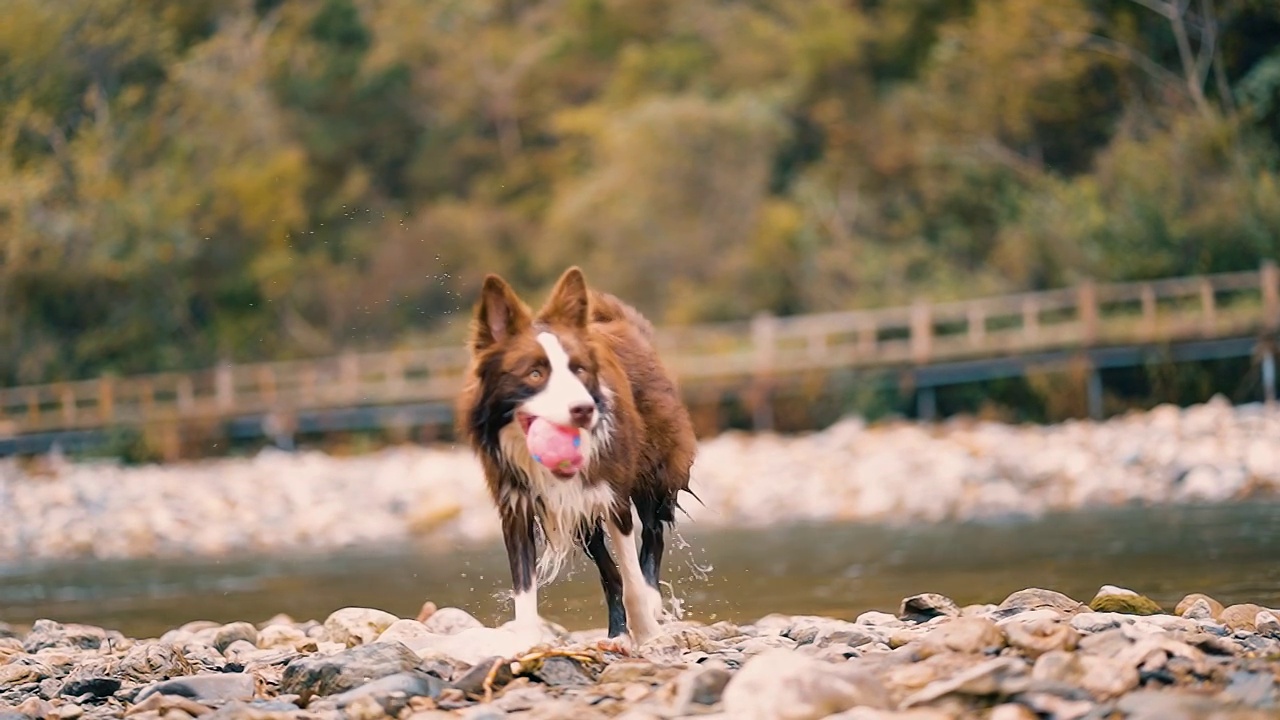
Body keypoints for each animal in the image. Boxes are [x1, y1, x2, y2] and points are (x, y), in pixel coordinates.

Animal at [460, 266, 696, 640]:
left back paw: (651, 601)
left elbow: (631, 576)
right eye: (535, 373)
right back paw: (616, 633)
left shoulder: (612, 497)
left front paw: (646, 632)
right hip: (581, 520)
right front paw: (526, 644)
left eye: (580, 370)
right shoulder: (517, 506)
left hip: (653, 471)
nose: (584, 410)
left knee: (653, 532)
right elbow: (524, 592)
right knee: (608, 570)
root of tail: (626, 325)